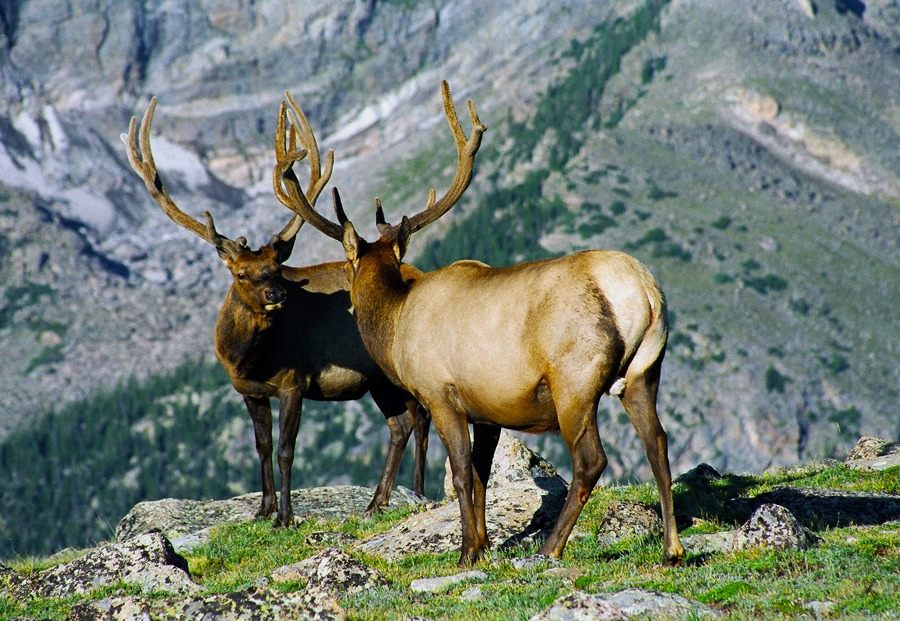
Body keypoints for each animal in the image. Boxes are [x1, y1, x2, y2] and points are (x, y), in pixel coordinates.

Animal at [120, 95, 430, 528]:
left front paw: (285, 515)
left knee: (420, 418)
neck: (248, 359)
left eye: (277, 267)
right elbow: (262, 446)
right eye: (240, 273)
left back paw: (415, 492)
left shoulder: (293, 382)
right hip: (379, 381)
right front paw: (263, 509)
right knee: (400, 425)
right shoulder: (247, 390)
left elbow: (286, 450)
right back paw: (377, 501)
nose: (276, 293)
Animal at [276, 80, 685, 566]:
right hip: (645, 370)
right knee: (658, 441)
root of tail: (643, 291)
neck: (394, 326)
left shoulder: (441, 393)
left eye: (347, 266)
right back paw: (672, 547)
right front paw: (485, 544)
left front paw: (467, 551)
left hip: (575, 378)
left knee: (591, 460)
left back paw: (550, 547)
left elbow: (458, 475)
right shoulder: (488, 409)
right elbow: (480, 475)